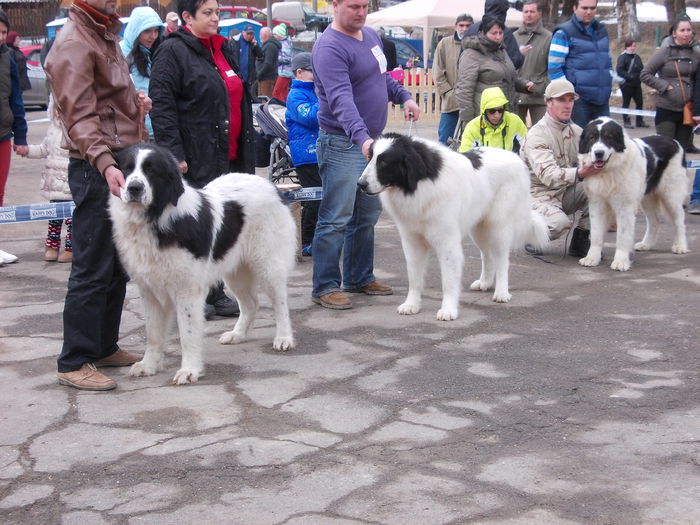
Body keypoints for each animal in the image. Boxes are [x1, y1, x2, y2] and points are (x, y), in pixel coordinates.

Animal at [109, 144, 296, 384]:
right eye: (126, 168)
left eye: (151, 171)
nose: (134, 188)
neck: (156, 219)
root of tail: (271, 186)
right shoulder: (149, 290)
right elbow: (153, 333)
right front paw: (149, 365)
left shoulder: (187, 289)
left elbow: (187, 333)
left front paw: (189, 370)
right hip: (235, 271)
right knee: (251, 304)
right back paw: (237, 334)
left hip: (267, 264)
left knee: (280, 303)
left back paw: (284, 338)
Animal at [358, 132, 548, 320]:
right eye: (369, 157)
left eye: (384, 162)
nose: (360, 184)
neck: (421, 183)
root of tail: (515, 156)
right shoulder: (412, 241)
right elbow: (414, 277)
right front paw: (411, 305)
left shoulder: (447, 243)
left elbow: (448, 281)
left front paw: (448, 310)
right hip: (479, 228)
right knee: (487, 255)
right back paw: (485, 282)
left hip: (498, 227)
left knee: (502, 260)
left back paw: (501, 292)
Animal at [576, 117, 688, 272]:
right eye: (591, 137)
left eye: (609, 138)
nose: (599, 153)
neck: (608, 172)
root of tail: (674, 141)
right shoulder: (597, 204)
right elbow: (596, 234)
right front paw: (592, 258)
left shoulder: (625, 207)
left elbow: (623, 236)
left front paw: (620, 261)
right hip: (647, 199)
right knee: (654, 221)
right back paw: (646, 244)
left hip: (670, 195)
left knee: (679, 220)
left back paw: (680, 246)